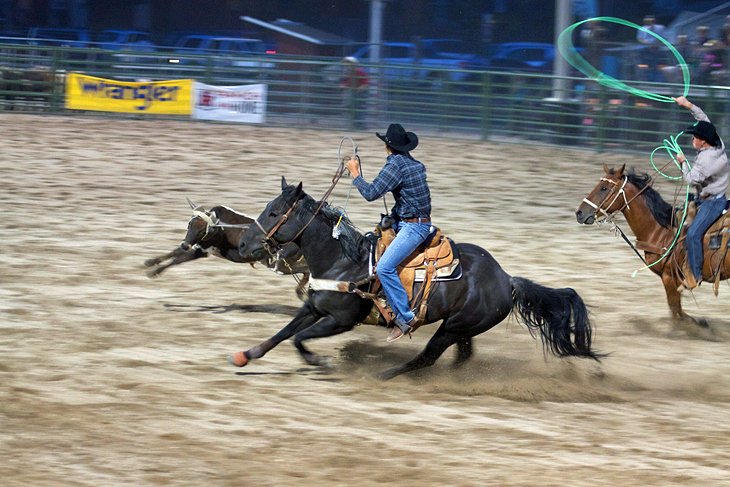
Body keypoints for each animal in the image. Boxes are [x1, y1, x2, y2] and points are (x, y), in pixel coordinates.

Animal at [145, 201, 308, 300]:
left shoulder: (202, 251)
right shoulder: (199, 247)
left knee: (306, 271)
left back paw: (301, 293)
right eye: (189, 224)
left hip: (281, 265)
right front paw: (151, 262)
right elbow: (176, 253)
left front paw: (155, 272)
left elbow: (178, 259)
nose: (185, 244)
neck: (220, 228)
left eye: (202, 230)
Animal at [232, 179, 596, 382]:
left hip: (452, 327)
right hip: (462, 329)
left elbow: (299, 339)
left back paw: (382, 375)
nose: (243, 245)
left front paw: (319, 361)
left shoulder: (341, 321)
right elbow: (283, 333)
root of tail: (507, 280)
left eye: (275, 213)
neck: (341, 261)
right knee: (461, 358)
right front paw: (246, 355)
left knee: (426, 357)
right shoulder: (313, 308)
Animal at [576, 164, 728, 328]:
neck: (662, 232)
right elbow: (679, 311)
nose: (579, 213)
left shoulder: (668, 277)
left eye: (604, 188)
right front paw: (699, 322)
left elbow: (675, 309)